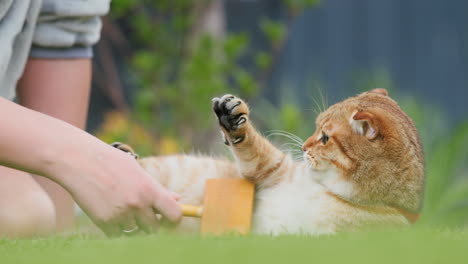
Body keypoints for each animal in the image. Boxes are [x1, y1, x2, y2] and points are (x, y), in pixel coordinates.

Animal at [113, 88, 424, 235]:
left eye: (325, 137)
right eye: (317, 129)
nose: (304, 145)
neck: (330, 193)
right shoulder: (271, 170)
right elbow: (254, 147)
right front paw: (232, 119)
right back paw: (123, 153)